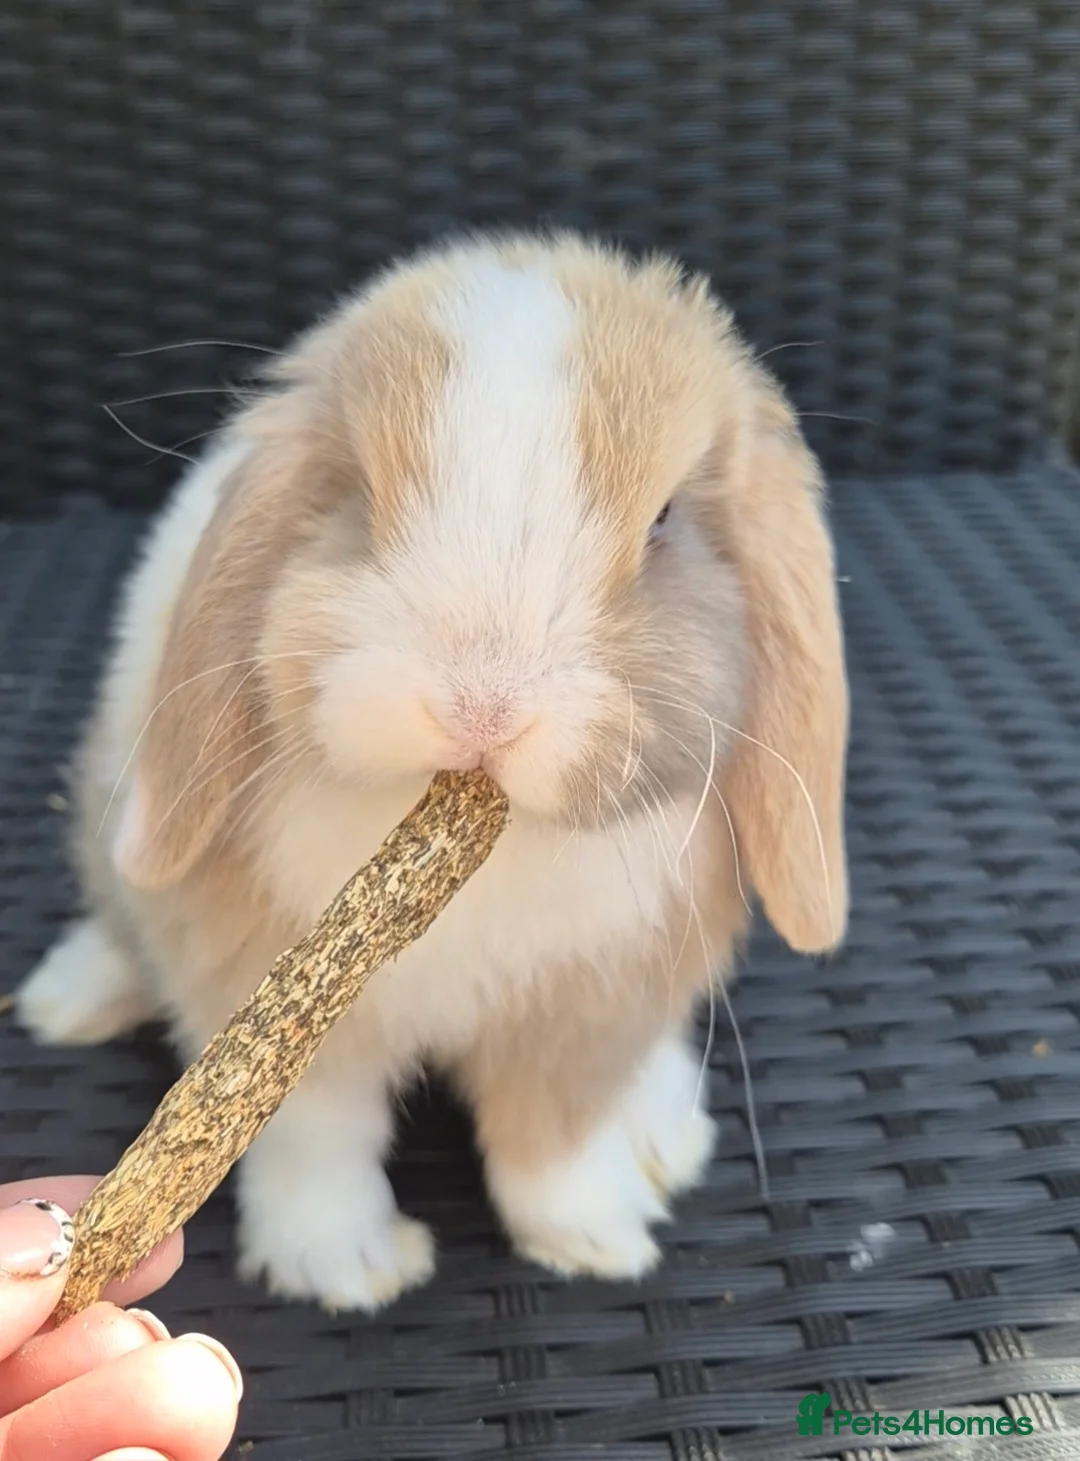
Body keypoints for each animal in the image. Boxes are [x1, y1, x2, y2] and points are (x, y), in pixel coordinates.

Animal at [16, 230, 849, 1313]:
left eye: (666, 517)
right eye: (359, 495)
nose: (482, 705)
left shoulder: (587, 1019)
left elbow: (553, 1143)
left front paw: (595, 1240)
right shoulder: (279, 1009)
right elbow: (316, 1141)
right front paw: (345, 1270)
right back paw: (66, 1001)